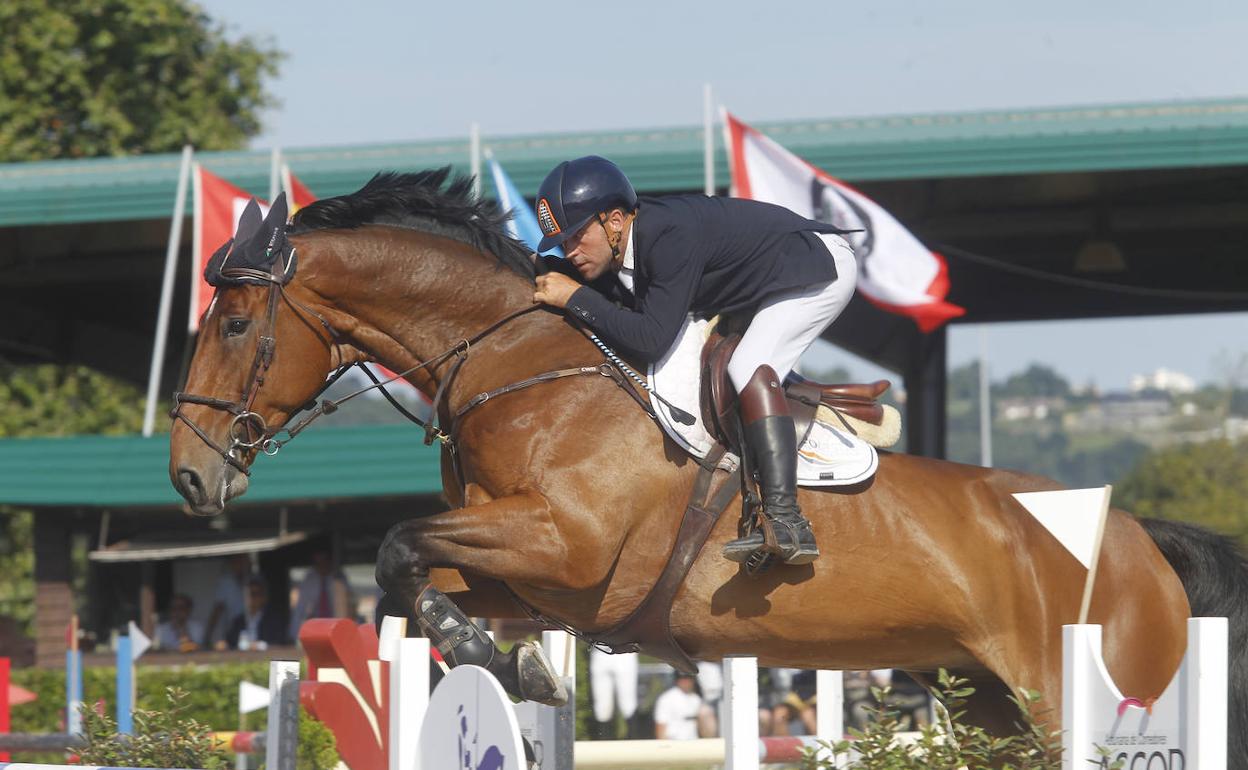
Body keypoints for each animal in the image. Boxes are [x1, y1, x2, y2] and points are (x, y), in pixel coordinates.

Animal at [168, 168, 1248, 758]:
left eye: (233, 323)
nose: (188, 476)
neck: (521, 363)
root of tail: (1138, 539)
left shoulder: (562, 544)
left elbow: (396, 545)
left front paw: (503, 661)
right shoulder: (529, 571)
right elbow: (419, 579)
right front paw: (506, 660)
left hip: (1075, 696)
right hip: (992, 704)